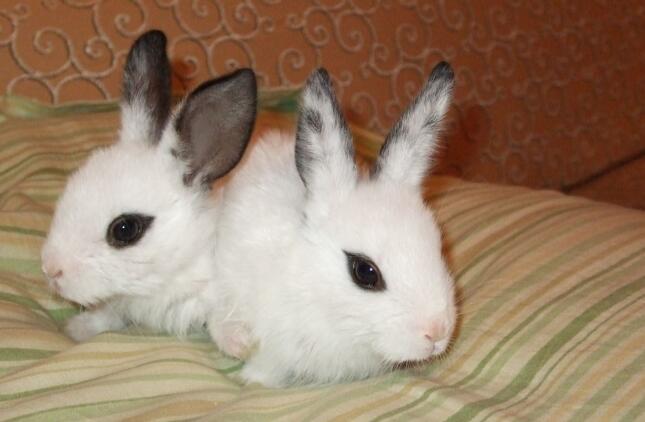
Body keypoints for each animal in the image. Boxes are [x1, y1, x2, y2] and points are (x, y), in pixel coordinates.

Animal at [40, 30, 257, 342]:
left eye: (124, 229)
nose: (51, 270)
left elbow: (220, 317)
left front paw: (239, 342)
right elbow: (108, 315)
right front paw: (76, 330)